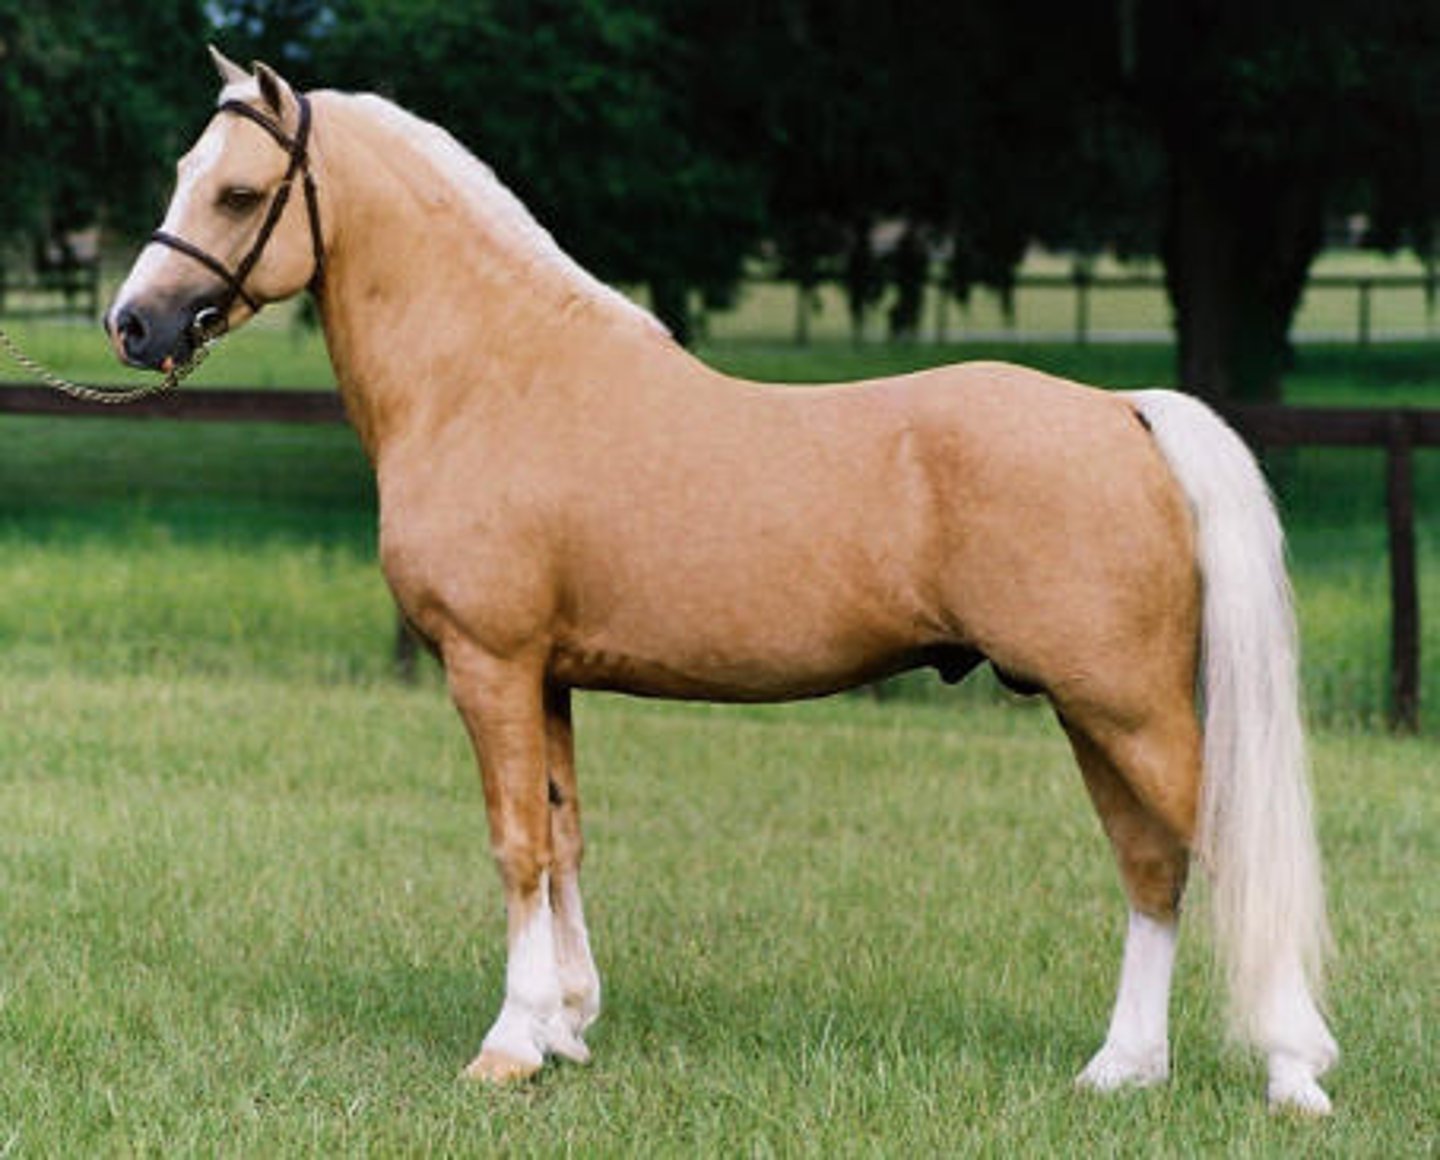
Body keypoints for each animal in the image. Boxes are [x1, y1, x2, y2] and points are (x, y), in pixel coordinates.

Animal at [105, 48, 1339, 1113]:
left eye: (239, 193)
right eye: (184, 175)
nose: (133, 323)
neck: (494, 377)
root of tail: (1123, 410)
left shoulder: (488, 662)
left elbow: (515, 842)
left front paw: (510, 1043)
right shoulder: (549, 675)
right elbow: (563, 835)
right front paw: (567, 1023)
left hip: (1125, 705)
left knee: (1218, 849)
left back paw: (1294, 1073)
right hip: (1092, 709)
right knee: (1150, 863)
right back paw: (1122, 1069)